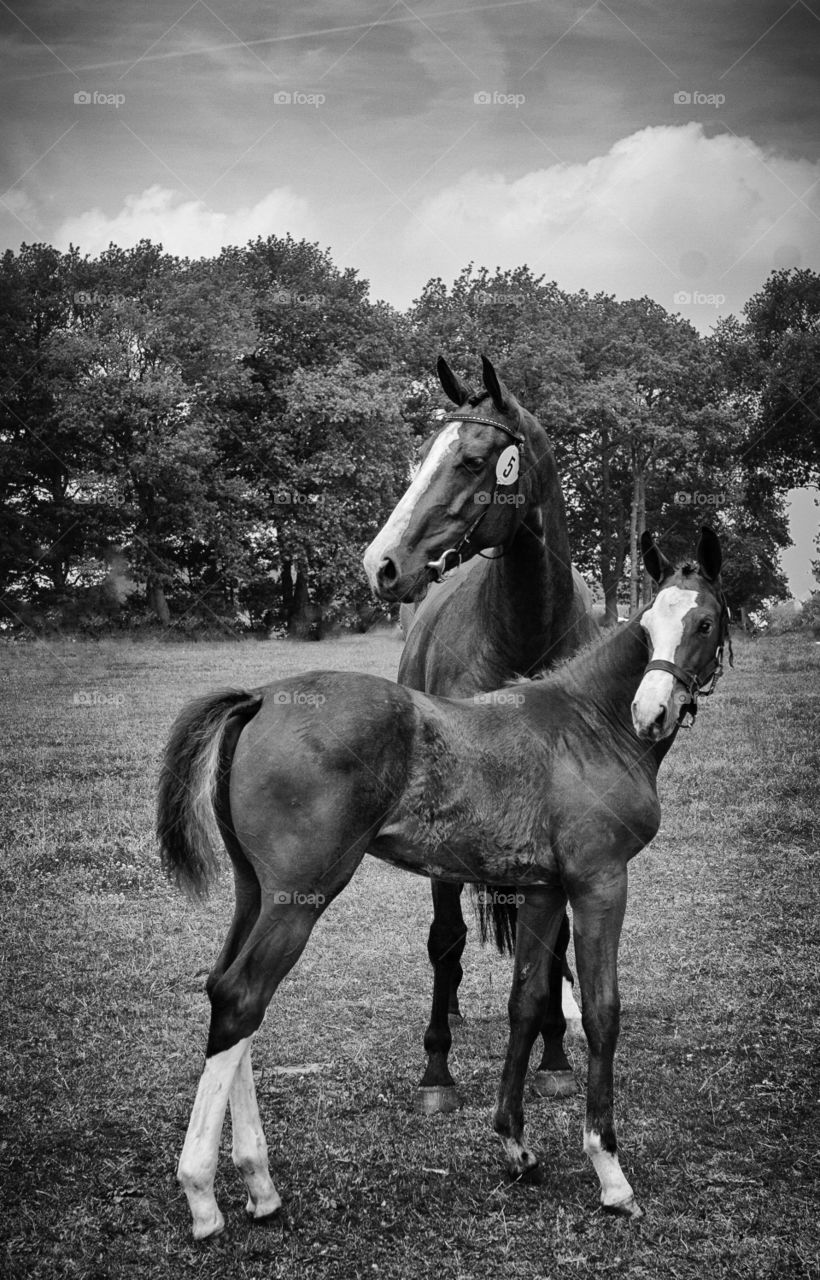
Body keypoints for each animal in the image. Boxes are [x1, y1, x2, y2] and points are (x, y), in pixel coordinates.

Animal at [157, 528, 731, 1239]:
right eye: (649, 624)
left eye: (703, 622)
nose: (651, 711)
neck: (589, 724)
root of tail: (261, 697)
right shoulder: (600, 882)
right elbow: (602, 1010)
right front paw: (611, 1174)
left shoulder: (542, 891)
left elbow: (527, 1003)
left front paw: (516, 1147)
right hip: (301, 896)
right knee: (241, 998)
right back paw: (205, 1197)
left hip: (255, 892)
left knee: (228, 997)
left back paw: (258, 1186)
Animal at [362, 354, 598, 1112]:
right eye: (419, 458)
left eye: (471, 460)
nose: (380, 564)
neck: (522, 631)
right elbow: (446, 937)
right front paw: (436, 1069)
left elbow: (551, 941)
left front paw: (554, 1050)